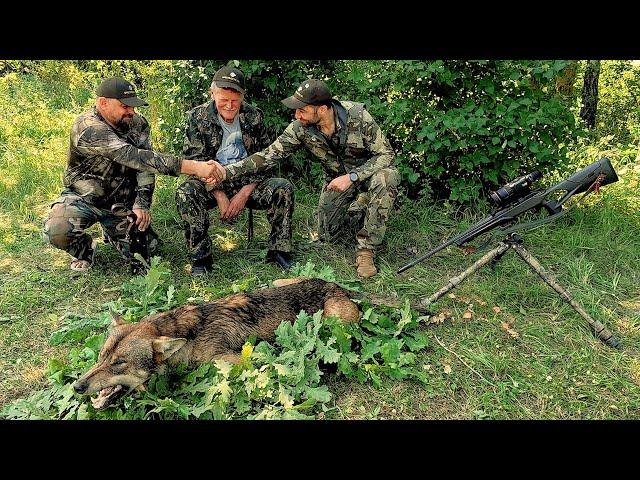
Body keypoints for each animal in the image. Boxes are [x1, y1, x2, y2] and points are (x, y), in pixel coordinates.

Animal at [73, 278, 362, 408]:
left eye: (120, 363)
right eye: (101, 356)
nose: (77, 386)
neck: (189, 339)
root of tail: (336, 286)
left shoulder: (239, 360)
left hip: (334, 320)